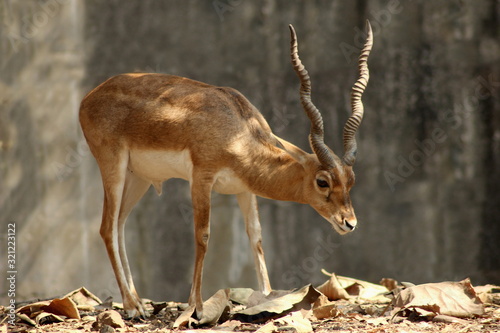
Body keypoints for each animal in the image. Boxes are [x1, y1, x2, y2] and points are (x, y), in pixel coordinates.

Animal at [80, 22, 374, 318]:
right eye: (322, 181)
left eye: (351, 180)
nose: (349, 223)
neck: (238, 132)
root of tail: (89, 97)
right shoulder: (201, 177)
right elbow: (203, 235)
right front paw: (196, 307)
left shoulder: (245, 189)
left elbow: (256, 235)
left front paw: (268, 297)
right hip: (113, 166)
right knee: (106, 228)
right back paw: (131, 306)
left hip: (138, 177)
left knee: (120, 225)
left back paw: (138, 302)